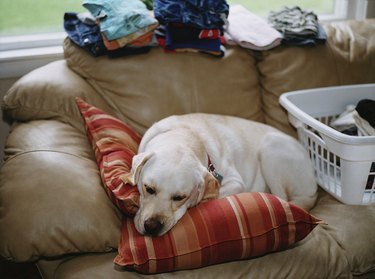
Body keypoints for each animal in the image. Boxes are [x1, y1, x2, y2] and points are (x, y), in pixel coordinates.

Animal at [123, 114, 318, 236]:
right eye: (148, 188)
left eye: (180, 197)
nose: (151, 227)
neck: (188, 135)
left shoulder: (235, 182)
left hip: (271, 145)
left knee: (282, 198)